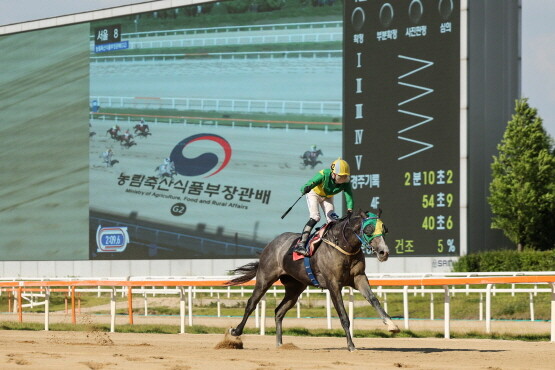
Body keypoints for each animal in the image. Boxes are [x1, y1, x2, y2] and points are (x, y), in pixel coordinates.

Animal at [226, 210, 400, 352]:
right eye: (368, 229)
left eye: (384, 229)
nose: (384, 252)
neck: (343, 247)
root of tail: (271, 244)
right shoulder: (333, 284)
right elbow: (343, 316)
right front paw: (351, 346)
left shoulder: (359, 277)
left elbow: (373, 299)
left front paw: (392, 325)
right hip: (265, 277)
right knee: (251, 303)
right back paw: (236, 331)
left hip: (295, 287)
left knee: (279, 311)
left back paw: (280, 344)